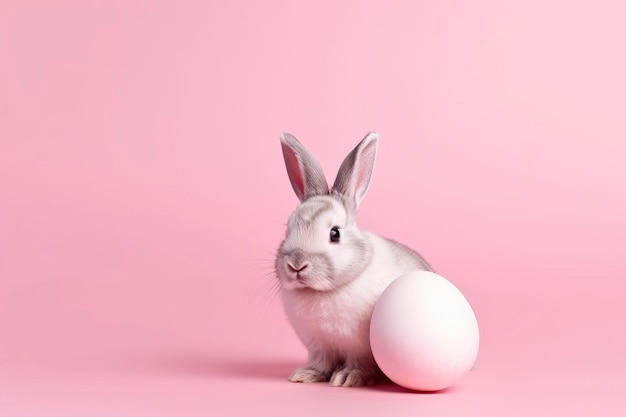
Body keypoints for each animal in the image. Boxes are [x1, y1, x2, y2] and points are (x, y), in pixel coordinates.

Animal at [276, 131, 432, 386]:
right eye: (288, 228)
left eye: (335, 233)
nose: (296, 264)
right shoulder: (318, 345)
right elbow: (322, 363)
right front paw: (305, 374)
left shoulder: (359, 347)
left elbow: (358, 364)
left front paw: (346, 378)